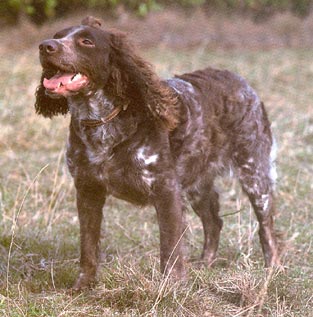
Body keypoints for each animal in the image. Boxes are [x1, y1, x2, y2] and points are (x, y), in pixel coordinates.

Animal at [35, 16, 280, 288]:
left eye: (86, 41)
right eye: (58, 35)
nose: (45, 46)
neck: (102, 123)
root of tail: (241, 81)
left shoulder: (167, 191)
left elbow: (170, 249)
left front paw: (172, 287)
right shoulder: (88, 190)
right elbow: (88, 247)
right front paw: (84, 286)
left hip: (254, 173)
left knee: (266, 226)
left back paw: (272, 269)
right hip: (197, 183)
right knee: (214, 221)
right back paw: (205, 263)